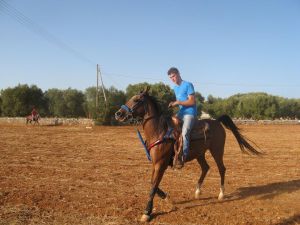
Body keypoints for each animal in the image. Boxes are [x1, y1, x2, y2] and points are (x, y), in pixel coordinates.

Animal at [113, 88, 262, 221]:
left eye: (137, 100)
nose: (118, 114)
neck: (160, 131)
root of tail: (217, 121)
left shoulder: (161, 163)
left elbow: (154, 185)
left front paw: (147, 212)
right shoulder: (155, 163)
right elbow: (152, 183)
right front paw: (168, 199)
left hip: (217, 151)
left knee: (221, 169)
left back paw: (221, 194)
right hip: (200, 154)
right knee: (205, 168)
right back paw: (197, 191)